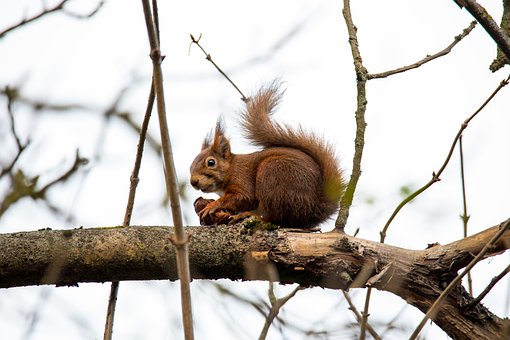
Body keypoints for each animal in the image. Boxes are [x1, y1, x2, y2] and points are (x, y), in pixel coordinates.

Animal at [189, 83, 344, 228]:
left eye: (211, 162)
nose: (193, 182)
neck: (231, 169)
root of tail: (315, 208)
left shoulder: (242, 179)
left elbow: (243, 197)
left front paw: (213, 205)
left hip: (272, 175)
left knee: (275, 217)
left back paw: (251, 216)